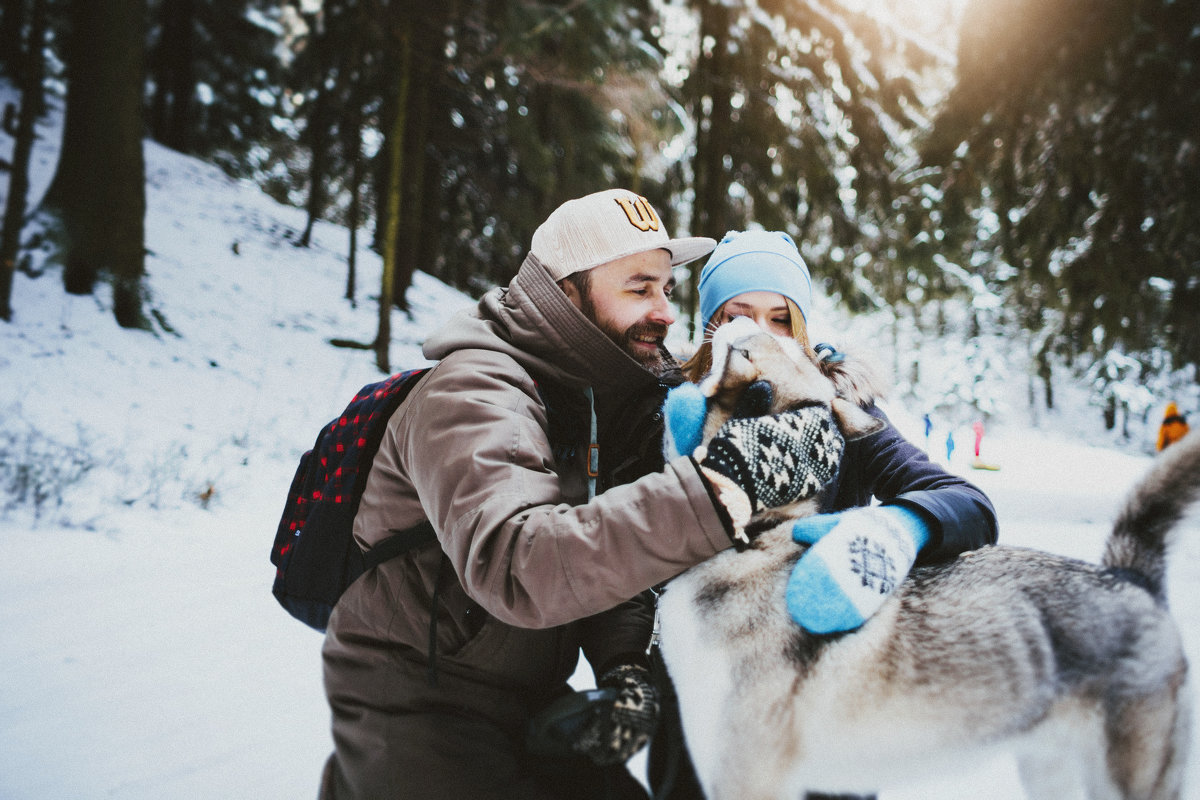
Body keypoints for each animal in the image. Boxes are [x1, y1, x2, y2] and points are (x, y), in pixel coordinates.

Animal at [657, 323, 1200, 800]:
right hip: (1049, 770)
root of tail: (1128, 573)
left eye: (754, 348)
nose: (737, 320)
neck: (755, 536)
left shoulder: (747, 777)